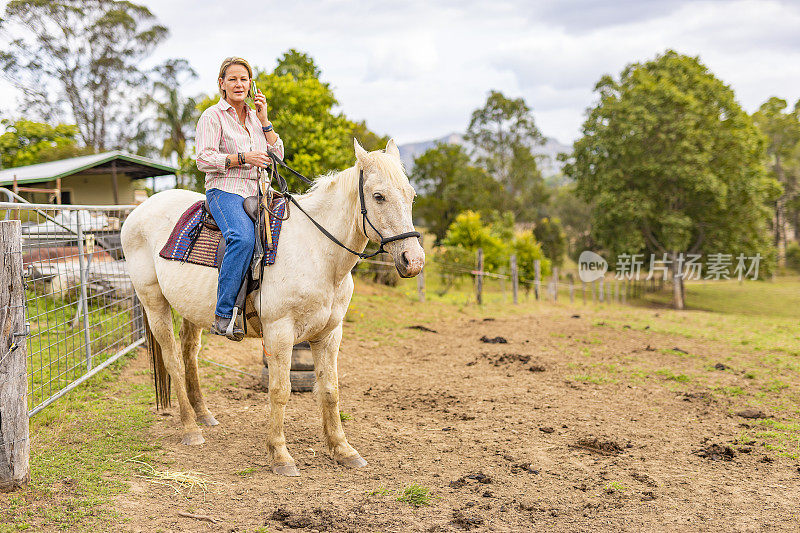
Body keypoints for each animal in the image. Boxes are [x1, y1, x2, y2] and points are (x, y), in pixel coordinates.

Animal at [120, 139, 424, 476]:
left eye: (411, 195)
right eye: (378, 196)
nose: (413, 260)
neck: (317, 251)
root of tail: (138, 211)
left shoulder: (330, 333)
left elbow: (330, 390)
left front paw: (343, 449)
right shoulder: (280, 332)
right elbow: (280, 390)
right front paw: (280, 454)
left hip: (191, 309)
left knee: (189, 355)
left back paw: (204, 415)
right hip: (154, 302)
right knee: (172, 360)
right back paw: (190, 429)